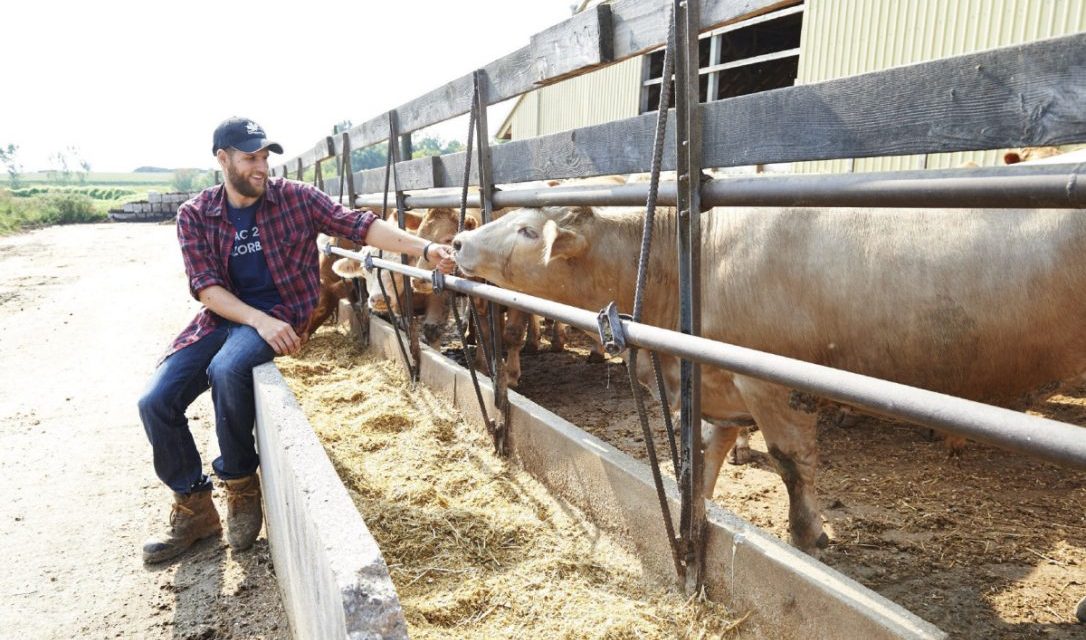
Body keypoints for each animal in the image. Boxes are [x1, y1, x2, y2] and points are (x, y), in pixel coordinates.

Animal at [453, 205, 1086, 554]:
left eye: (527, 230)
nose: (456, 241)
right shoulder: (718, 382)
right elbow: (706, 452)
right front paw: (695, 510)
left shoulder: (771, 383)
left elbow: (790, 461)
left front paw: (808, 535)